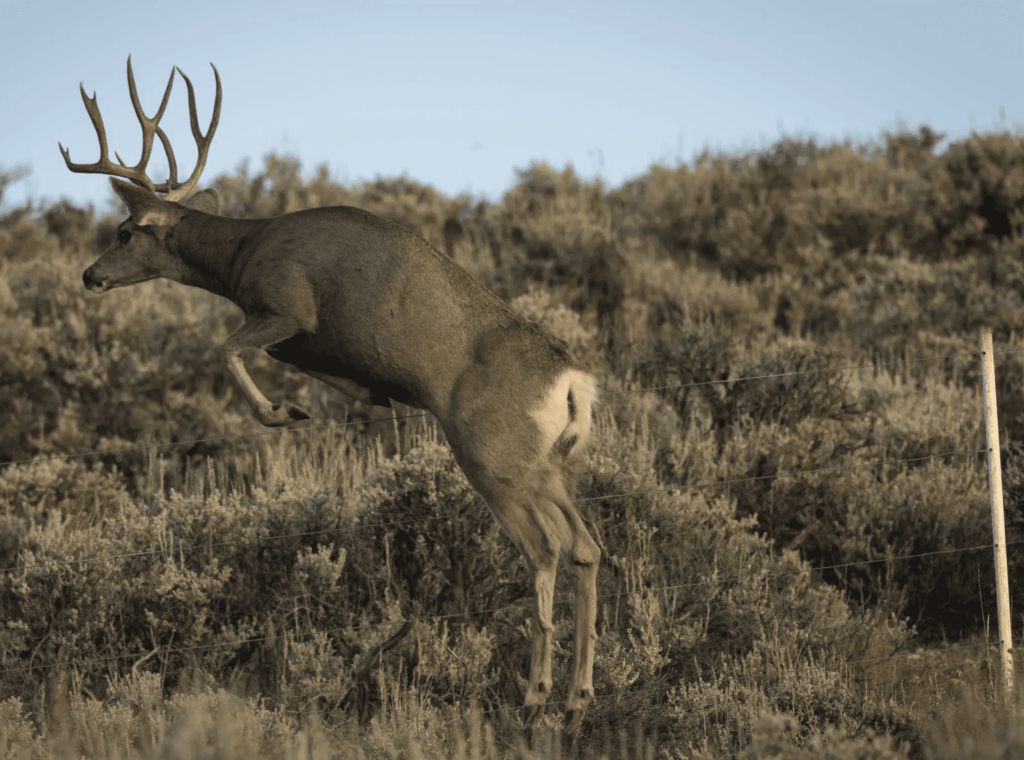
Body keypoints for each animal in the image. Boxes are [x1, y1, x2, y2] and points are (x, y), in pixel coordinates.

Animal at [61, 57, 600, 737]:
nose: (90, 275)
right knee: (586, 547)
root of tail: (572, 380)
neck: (244, 254)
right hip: (551, 462)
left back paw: (534, 697)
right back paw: (577, 699)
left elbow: (227, 349)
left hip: (492, 455)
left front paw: (282, 412)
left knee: (546, 549)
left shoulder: (288, 309)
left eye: (125, 232)